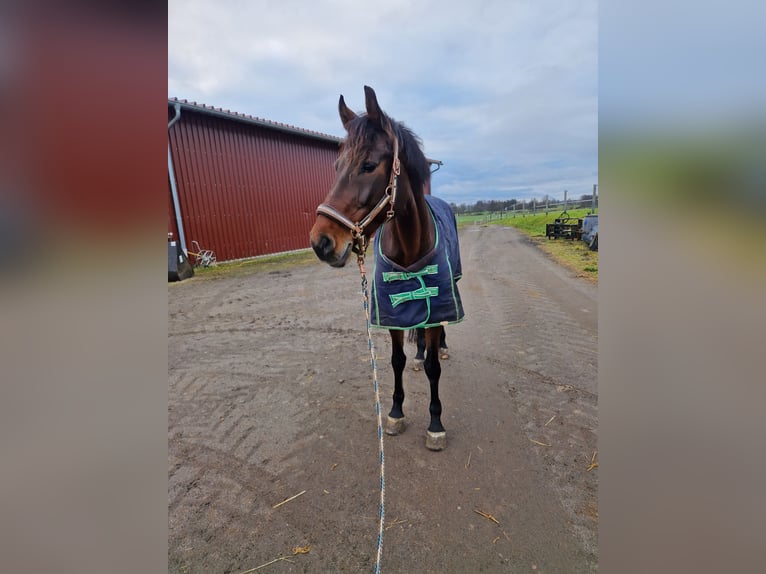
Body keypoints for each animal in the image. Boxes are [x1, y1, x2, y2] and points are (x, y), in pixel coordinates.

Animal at [309, 86, 464, 450]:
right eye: (337, 165)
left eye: (368, 165)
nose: (321, 242)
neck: (409, 247)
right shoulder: (394, 314)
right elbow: (397, 360)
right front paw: (394, 413)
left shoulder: (436, 303)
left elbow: (435, 368)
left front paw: (435, 424)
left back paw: (442, 348)